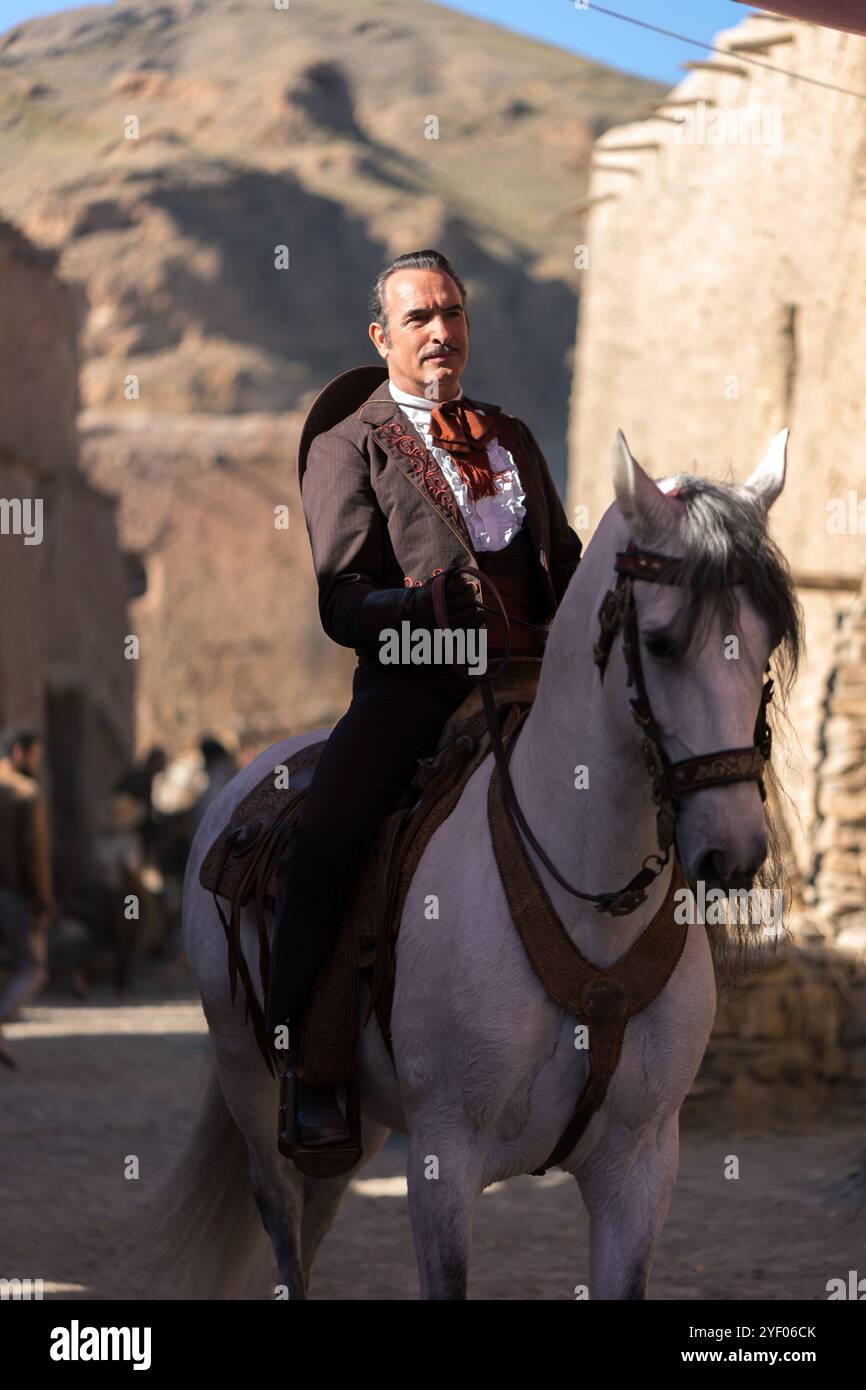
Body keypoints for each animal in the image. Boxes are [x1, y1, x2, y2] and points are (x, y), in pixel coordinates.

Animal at [159, 428, 800, 1295]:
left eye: (768, 641)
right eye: (662, 643)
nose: (734, 851)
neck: (587, 904)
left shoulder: (640, 1166)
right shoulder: (443, 1160)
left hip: (353, 1124)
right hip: (254, 1089)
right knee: (285, 1226)